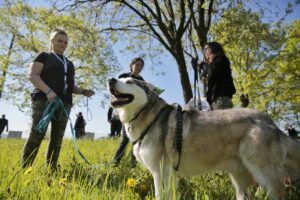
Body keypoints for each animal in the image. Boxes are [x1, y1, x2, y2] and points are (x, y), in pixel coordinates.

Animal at [108, 77, 300, 200]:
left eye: (130, 82)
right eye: (121, 78)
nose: (111, 80)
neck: (150, 115)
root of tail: (270, 121)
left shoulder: (161, 172)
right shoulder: (169, 176)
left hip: (265, 176)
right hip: (240, 180)